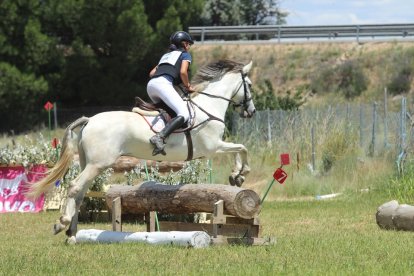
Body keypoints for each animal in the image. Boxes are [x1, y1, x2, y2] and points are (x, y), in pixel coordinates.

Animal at [27, 59, 256, 243]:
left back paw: (72, 235)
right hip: (98, 164)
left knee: (80, 194)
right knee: (75, 187)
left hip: (88, 163)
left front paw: (236, 176)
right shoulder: (213, 146)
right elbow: (242, 148)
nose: (251, 111)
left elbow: (238, 150)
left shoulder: (215, 147)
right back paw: (62, 224)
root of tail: (90, 119)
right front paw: (241, 174)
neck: (209, 105)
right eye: (250, 85)